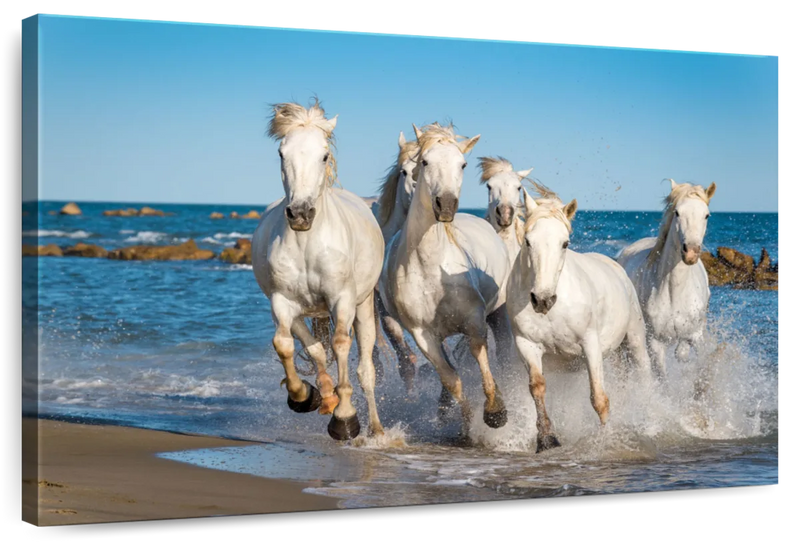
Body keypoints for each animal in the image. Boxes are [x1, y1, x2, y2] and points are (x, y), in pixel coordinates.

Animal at [252, 101, 386, 442]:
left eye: (324, 155)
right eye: (281, 153)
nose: (300, 213)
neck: (307, 243)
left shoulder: (342, 300)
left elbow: (340, 345)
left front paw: (345, 418)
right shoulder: (282, 302)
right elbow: (287, 345)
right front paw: (304, 396)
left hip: (364, 306)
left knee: (366, 370)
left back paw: (376, 429)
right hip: (302, 311)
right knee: (314, 349)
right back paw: (325, 396)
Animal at [376, 121, 512, 436]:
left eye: (462, 164)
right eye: (425, 162)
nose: (446, 205)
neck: (431, 268)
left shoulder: (474, 320)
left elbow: (479, 354)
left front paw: (495, 411)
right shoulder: (423, 335)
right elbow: (451, 378)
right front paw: (466, 425)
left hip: (499, 314)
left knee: (502, 354)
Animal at [510, 185, 652, 452]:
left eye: (565, 243)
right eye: (528, 241)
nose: (543, 299)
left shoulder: (590, 344)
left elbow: (599, 398)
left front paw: (606, 440)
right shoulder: (526, 344)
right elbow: (537, 387)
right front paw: (546, 440)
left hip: (635, 339)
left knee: (644, 375)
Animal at [616, 178, 720, 378]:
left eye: (707, 215)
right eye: (677, 212)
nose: (691, 252)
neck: (675, 291)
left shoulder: (697, 335)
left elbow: (699, 361)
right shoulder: (656, 342)